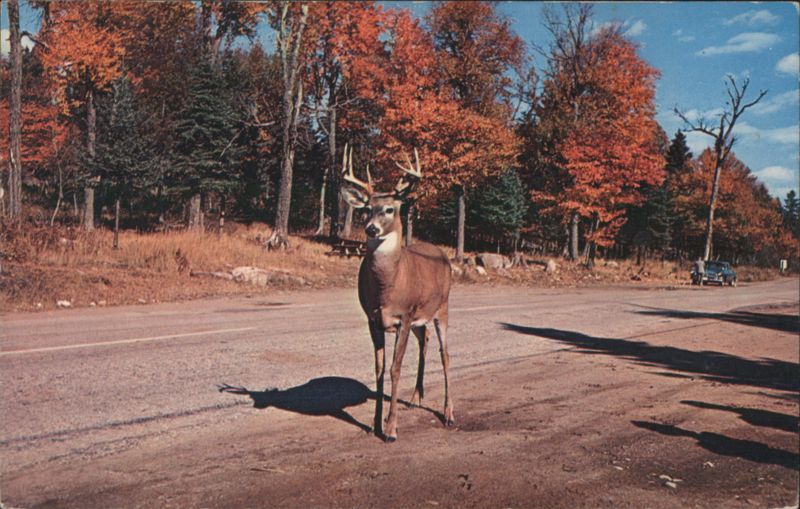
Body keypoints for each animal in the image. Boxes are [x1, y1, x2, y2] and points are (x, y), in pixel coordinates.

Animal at [340, 145, 454, 442]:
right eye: (367, 209)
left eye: (390, 209)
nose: (371, 228)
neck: (387, 287)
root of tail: (442, 253)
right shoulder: (374, 319)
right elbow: (379, 369)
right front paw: (375, 424)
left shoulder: (404, 316)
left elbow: (395, 368)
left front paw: (391, 429)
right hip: (420, 318)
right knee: (425, 342)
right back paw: (415, 398)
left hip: (442, 308)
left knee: (445, 354)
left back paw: (449, 414)